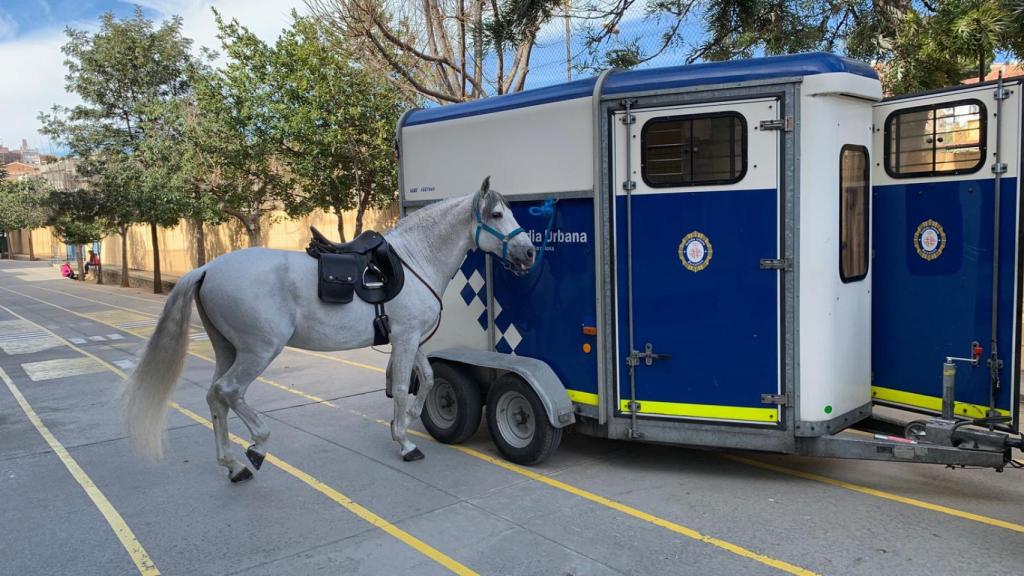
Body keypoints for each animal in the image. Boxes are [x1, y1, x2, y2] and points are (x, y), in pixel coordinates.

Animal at [123, 177, 536, 482]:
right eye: (497, 213)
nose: (529, 252)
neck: (415, 260)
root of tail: (207, 269)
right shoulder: (404, 339)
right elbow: (404, 388)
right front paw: (405, 443)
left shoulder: (412, 339)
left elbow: (428, 380)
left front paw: (406, 422)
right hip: (259, 350)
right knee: (229, 391)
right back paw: (256, 447)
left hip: (227, 349)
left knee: (214, 398)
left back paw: (233, 465)